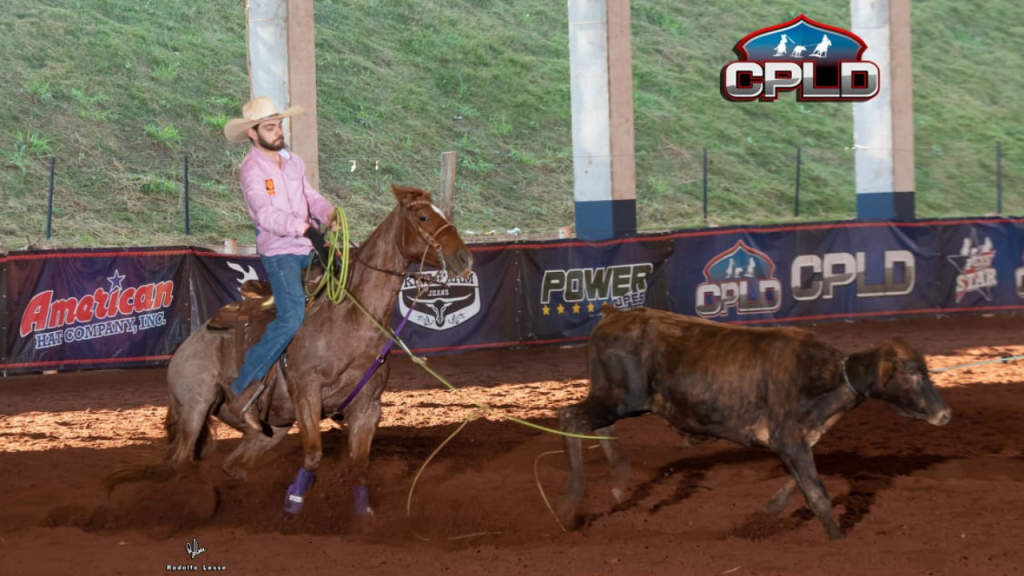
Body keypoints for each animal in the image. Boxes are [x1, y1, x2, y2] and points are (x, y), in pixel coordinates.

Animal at [108, 186, 471, 512]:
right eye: (423, 217)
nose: (464, 257)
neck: (351, 319)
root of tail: (185, 347)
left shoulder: (368, 407)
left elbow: (359, 465)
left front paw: (362, 513)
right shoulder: (306, 391)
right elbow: (313, 455)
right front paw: (293, 503)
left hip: (271, 430)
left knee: (230, 464)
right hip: (195, 407)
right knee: (182, 462)